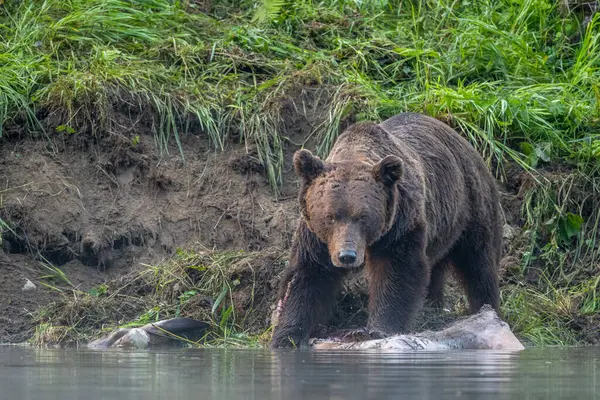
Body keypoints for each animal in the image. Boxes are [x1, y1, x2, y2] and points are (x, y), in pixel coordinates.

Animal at [270, 111, 502, 346]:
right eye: (330, 216)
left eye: (363, 217)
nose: (347, 256)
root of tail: (467, 143)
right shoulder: (317, 238)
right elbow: (308, 275)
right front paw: (287, 335)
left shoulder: (399, 225)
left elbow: (398, 272)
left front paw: (377, 329)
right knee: (436, 267)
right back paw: (433, 304)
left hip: (470, 206)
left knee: (478, 263)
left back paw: (487, 309)